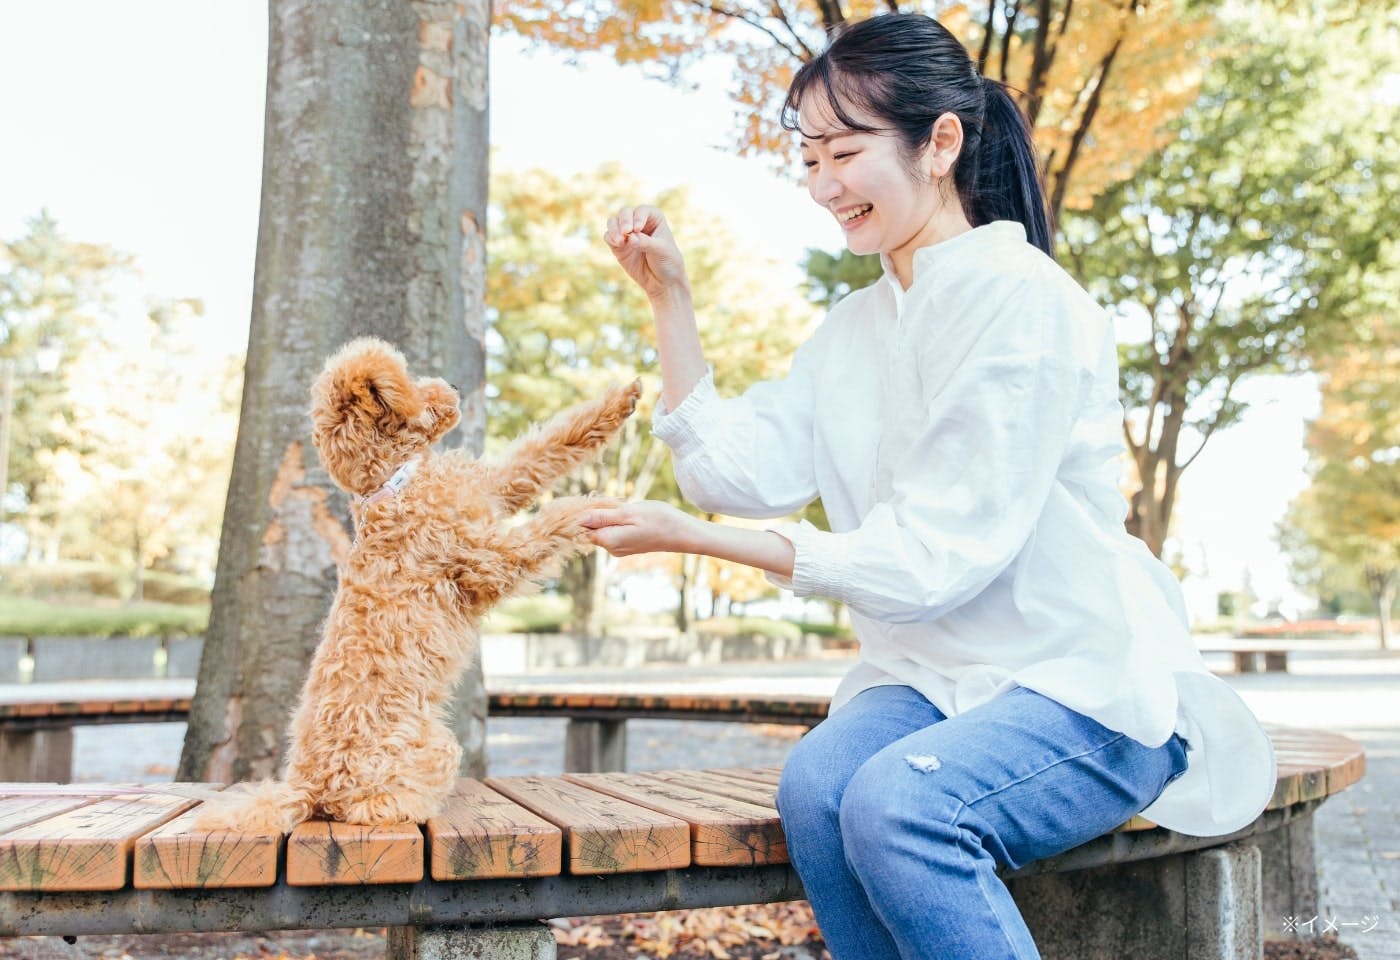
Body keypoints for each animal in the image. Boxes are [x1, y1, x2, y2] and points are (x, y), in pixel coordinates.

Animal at [193, 338, 641, 834]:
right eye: (410, 383)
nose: (455, 386)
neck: (393, 484)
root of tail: (310, 786)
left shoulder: (493, 488)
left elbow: (543, 451)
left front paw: (622, 400)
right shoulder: (490, 560)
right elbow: (548, 524)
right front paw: (594, 508)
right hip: (431, 750)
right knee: (378, 807)